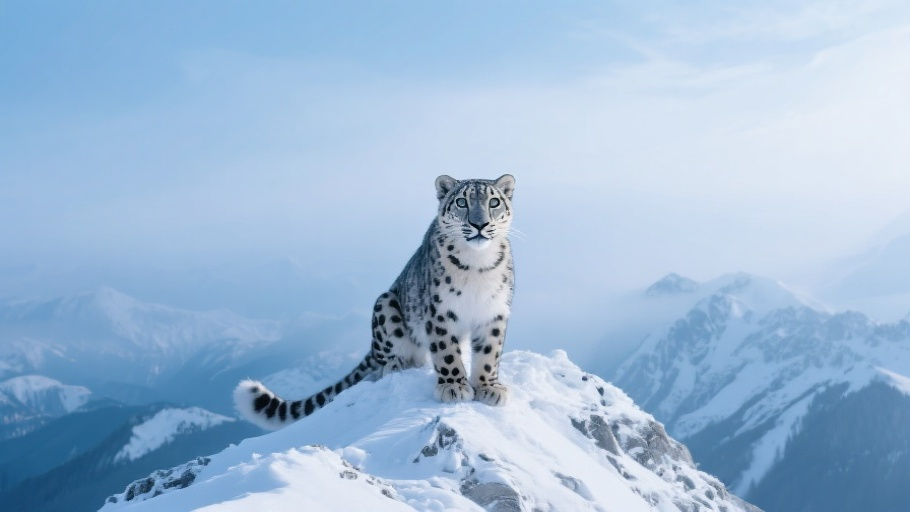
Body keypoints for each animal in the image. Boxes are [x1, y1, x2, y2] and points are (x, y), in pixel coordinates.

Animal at [234, 174, 516, 430]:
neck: (477, 267)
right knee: (386, 360)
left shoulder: (494, 312)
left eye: (493, 202)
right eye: (461, 202)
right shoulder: (439, 311)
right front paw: (454, 386)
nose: (479, 224)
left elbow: (489, 353)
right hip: (385, 304)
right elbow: (446, 351)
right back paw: (395, 365)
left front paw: (489, 388)